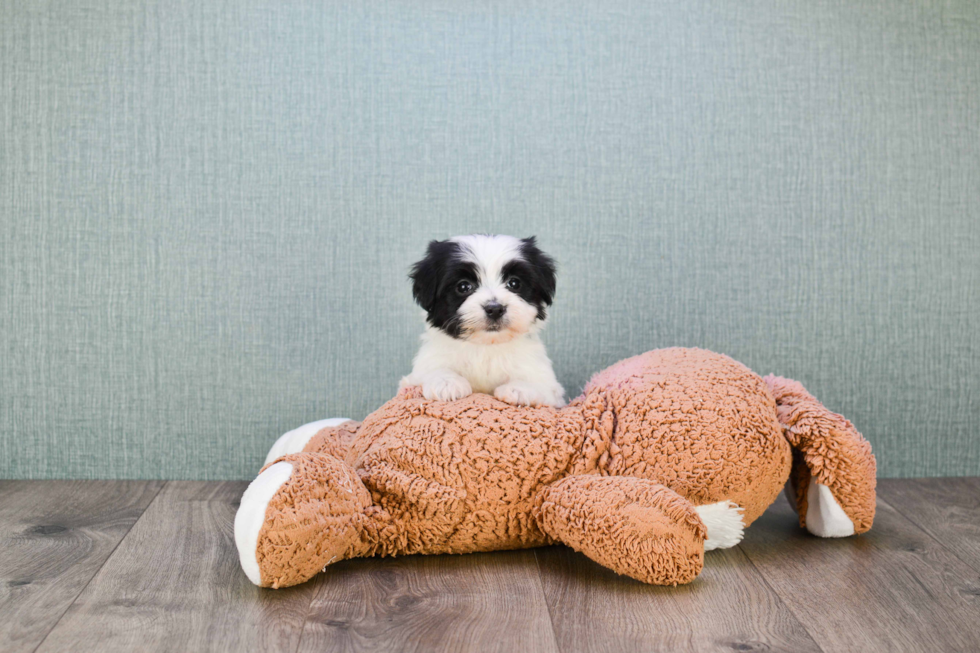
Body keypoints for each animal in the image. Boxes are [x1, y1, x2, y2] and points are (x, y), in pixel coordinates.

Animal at [400, 234, 568, 408]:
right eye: (463, 286)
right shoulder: (422, 367)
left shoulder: (548, 384)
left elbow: (542, 386)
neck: (486, 346)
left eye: (514, 283)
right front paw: (447, 383)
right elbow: (432, 369)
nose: (495, 309)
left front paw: (519, 389)